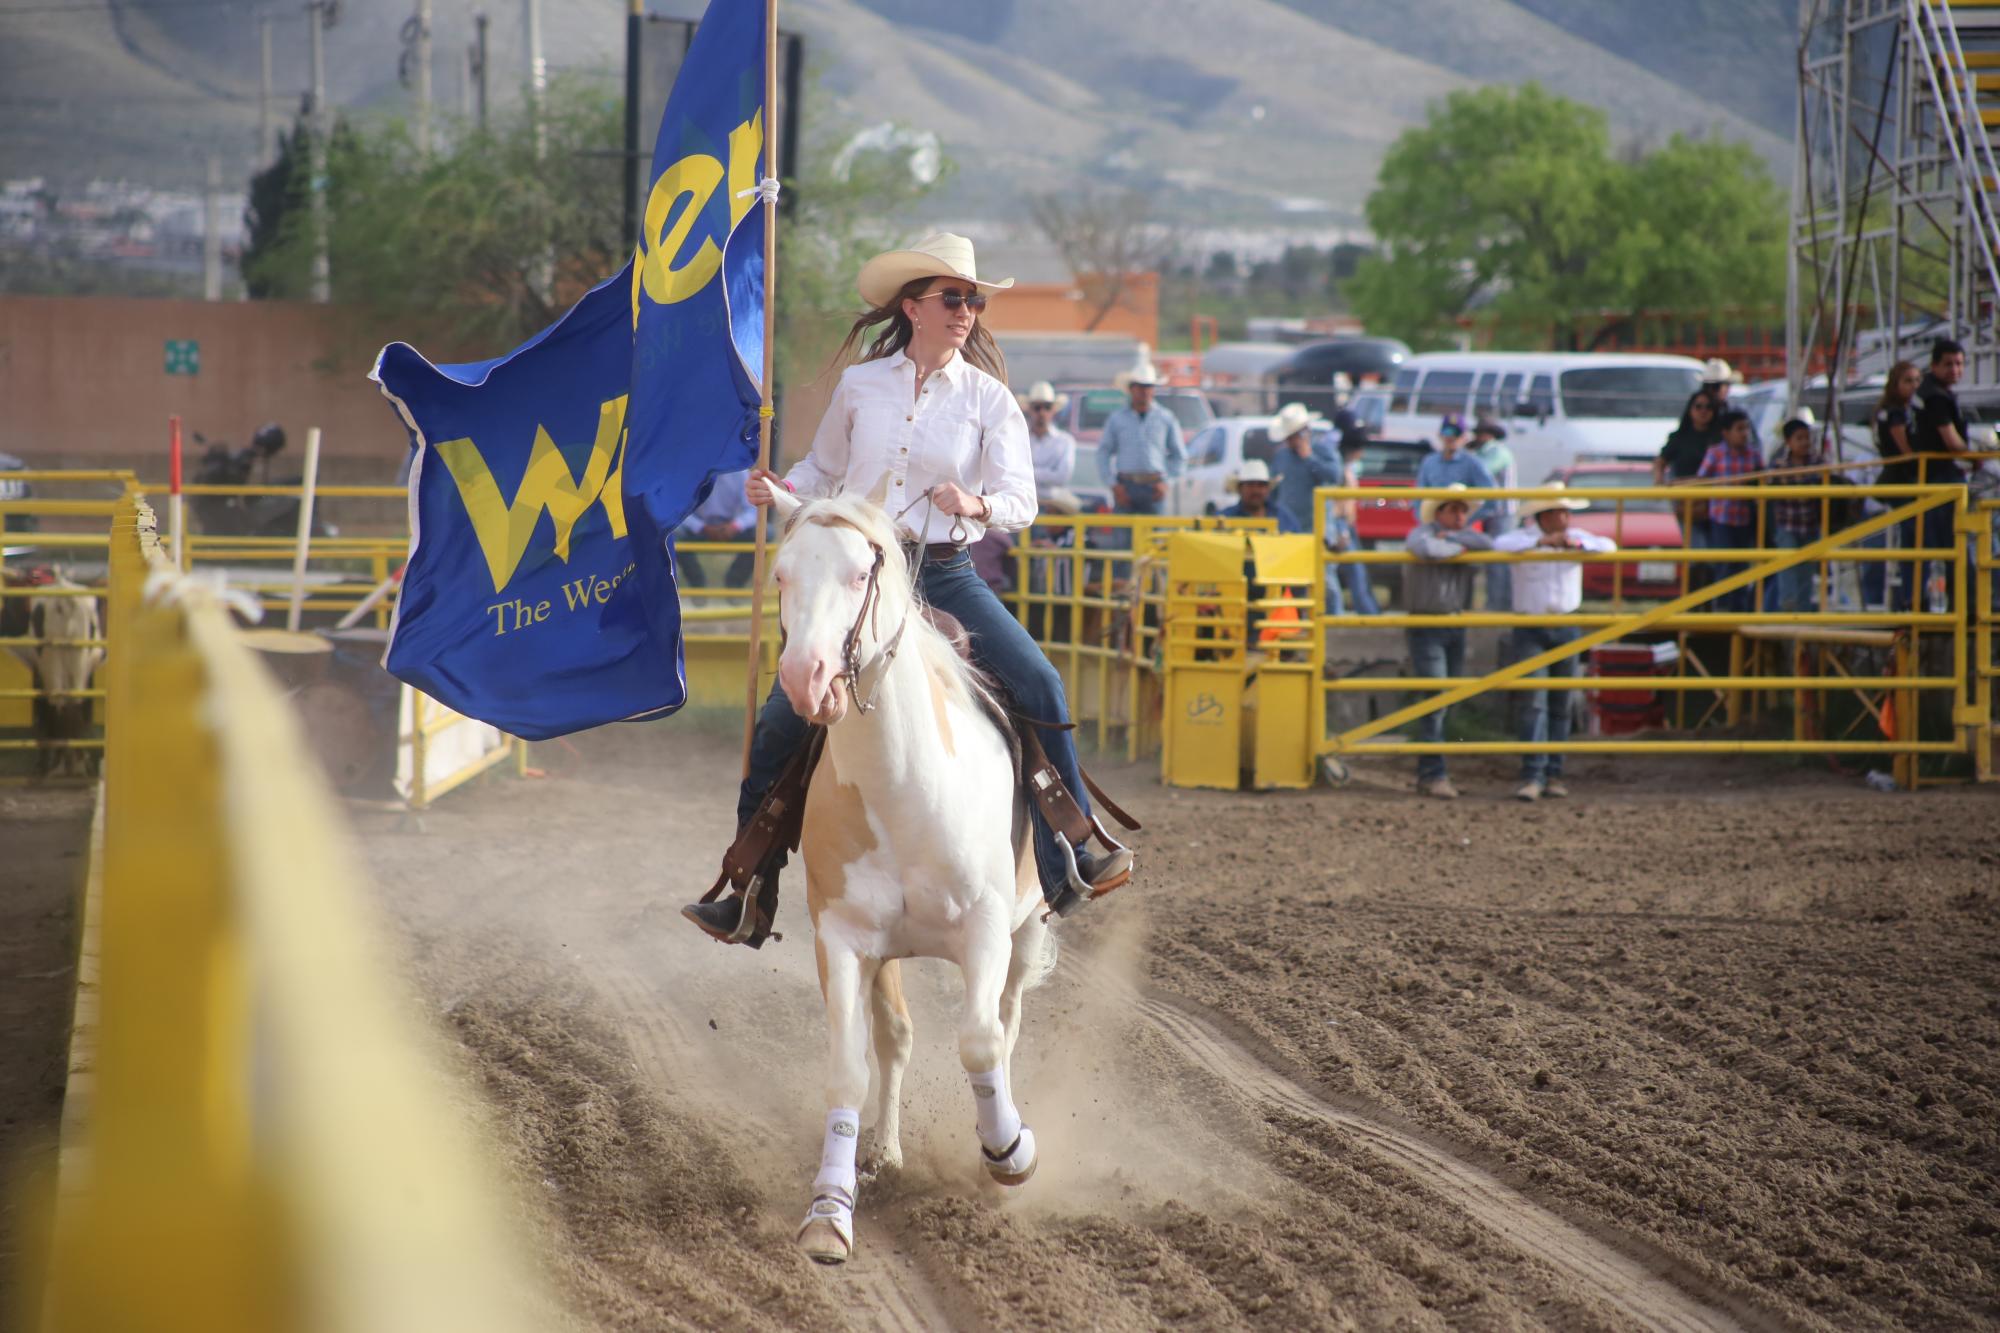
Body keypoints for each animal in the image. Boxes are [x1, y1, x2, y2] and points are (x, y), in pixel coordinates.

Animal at [760, 482, 1056, 1264]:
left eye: (858, 575)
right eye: (781, 574)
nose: (804, 678)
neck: (906, 788)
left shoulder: (986, 930)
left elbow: (981, 1041)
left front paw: (1008, 1153)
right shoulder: (840, 938)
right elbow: (851, 1066)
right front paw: (830, 1210)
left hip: (1025, 931)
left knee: (1006, 1024)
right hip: (887, 950)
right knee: (895, 1036)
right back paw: (884, 1151)